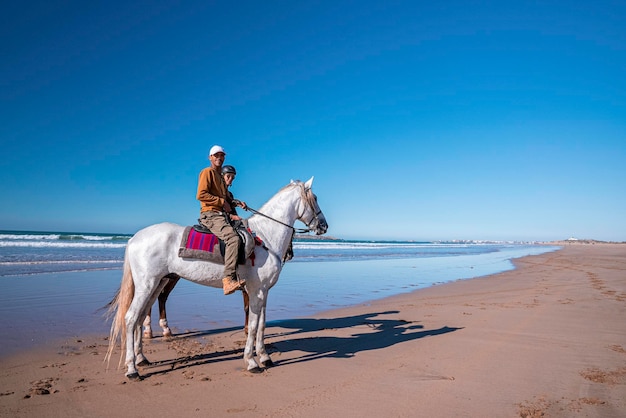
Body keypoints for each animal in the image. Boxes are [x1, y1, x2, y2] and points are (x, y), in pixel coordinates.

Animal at [103, 178, 326, 380]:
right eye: (314, 198)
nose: (324, 226)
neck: (265, 237)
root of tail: (134, 238)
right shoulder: (256, 291)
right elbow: (254, 326)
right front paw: (251, 361)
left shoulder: (263, 292)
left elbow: (262, 325)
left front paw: (264, 357)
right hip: (146, 285)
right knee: (131, 318)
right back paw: (132, 369)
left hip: (158, 284)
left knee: (140, 318)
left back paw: (141, 358)